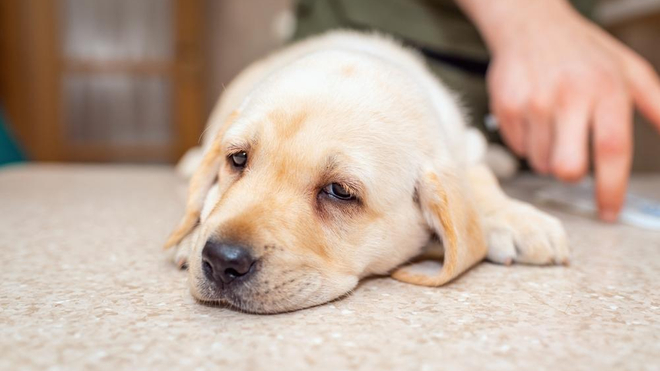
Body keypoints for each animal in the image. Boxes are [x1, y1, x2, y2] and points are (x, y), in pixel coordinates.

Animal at [164, 30, 568, 314]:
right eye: (238, 159)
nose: (222, 261)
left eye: (340, 192)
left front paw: (518, 219)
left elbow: (479, 178)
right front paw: (191, 235)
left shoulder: (462, 148)